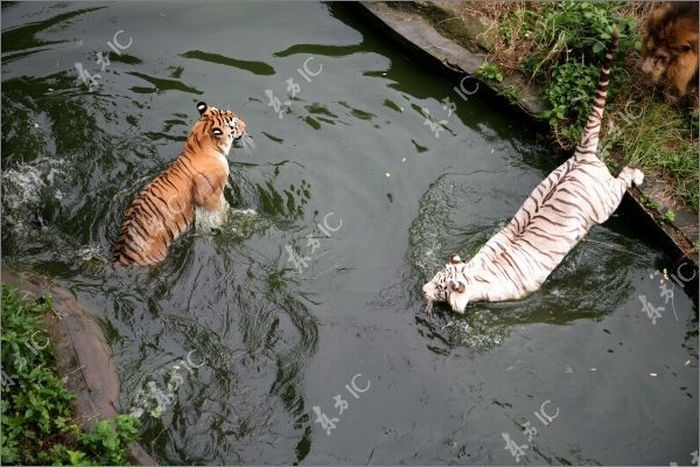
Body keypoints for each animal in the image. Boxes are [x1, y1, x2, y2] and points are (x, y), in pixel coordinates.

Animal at [112, 102, 246, 266]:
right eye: (234, 123)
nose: (245, 126)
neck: (197, 145)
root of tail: (120, 256)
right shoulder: (208, 197)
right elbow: (217, 210)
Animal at [422, 30, 644, 314]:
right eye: (436, 276)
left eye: (440, 287)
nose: (423, 289)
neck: (477, 272)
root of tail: (581, 156)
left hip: (606, 203)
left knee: (624, 177)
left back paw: (638, 175)